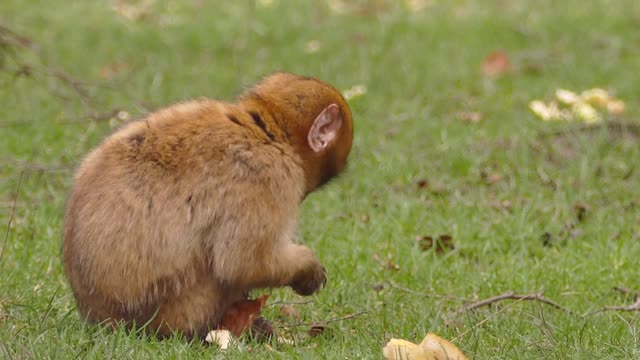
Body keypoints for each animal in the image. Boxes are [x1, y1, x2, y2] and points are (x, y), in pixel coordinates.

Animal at [63, 71, 356, 338]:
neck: (266, 132)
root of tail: (100, 318)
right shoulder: (267, 178)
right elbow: (242, 263)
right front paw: (307, 268)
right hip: (177, 310)